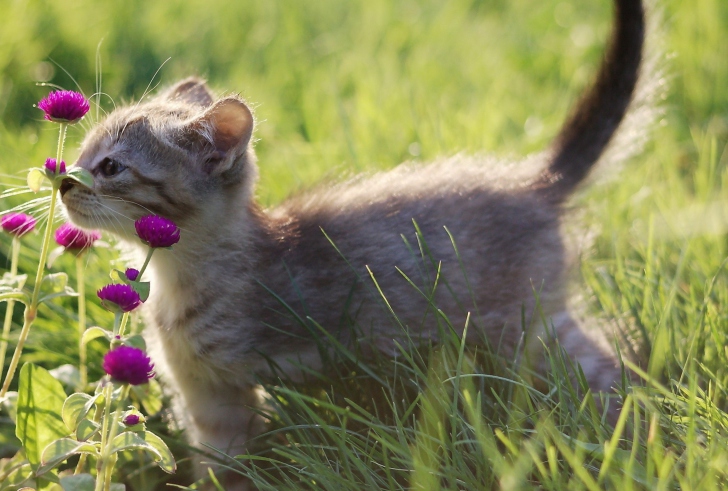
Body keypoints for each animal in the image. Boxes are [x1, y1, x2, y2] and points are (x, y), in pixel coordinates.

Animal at [59, 0, 644, 486]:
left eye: (110, 167)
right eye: (83, 154)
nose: (63, 180)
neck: (178, 280)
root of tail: (536, 183)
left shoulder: (232, 390)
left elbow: (232, 467)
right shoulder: (207, 398)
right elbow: (214, 461)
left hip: (526, 329)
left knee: (607, 365)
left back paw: (629, 431)